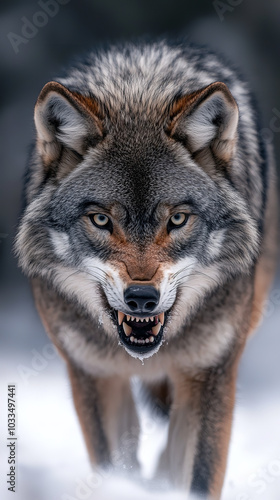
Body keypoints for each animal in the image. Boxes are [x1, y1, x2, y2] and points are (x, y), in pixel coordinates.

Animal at [15, 41, 278, 498]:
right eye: (102, 220)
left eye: (177, 220)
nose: (141, 297)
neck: (138, 93)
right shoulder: (94, 374)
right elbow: (113, 462)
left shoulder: (210, 373)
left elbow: (198, 474)